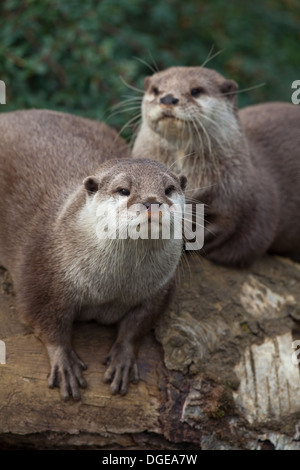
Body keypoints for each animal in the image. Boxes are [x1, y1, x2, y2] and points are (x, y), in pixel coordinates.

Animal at [0, 109, 186, 400]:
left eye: (168, 189)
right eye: (124, 190)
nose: (152, 201)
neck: (111, 286)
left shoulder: (161, 288)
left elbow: (140, 324)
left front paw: (123, 358)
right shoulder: (40, 274)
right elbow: (44, 320)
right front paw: (64, 362)